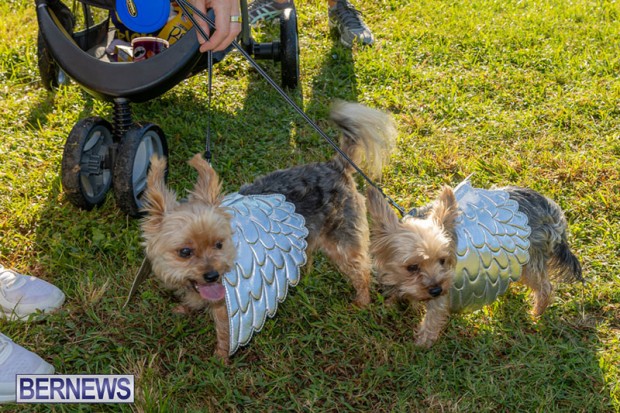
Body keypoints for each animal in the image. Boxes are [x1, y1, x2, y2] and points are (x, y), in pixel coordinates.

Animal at [140, 101, 396, 359]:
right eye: (185, 252)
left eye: (219, 244)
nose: (213, 275)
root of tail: (336, 166)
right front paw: (186, 308)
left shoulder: (232, 302)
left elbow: (224, 330)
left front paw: (219, 359)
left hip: (343, 241)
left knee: (361, 270)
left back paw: (361, 301)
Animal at [366, 182, 583, 347]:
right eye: (412, 267)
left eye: (443, 261)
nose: (436, 289)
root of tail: (551, 209)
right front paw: (391, 305)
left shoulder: (444, 291)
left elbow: (433, 317)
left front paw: (422, 344)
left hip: (531, 258)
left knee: (545, 287)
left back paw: (537, 312)